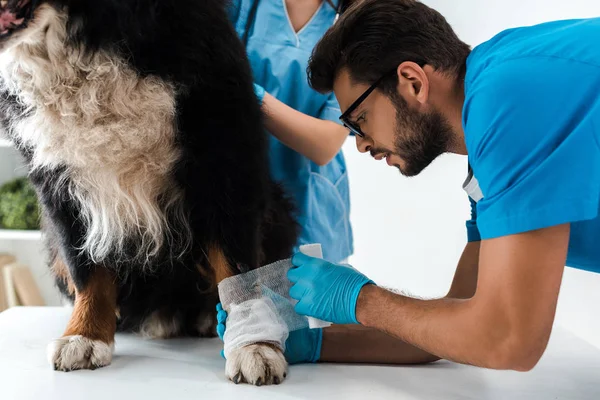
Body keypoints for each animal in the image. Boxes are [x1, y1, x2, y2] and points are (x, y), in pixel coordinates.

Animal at [0, 0, 298, 388]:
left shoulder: (225, 154)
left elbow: (237, 269)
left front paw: (254, 343)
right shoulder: (57, 181)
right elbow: (86, 269)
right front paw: (85, 335)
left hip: (276, 210)